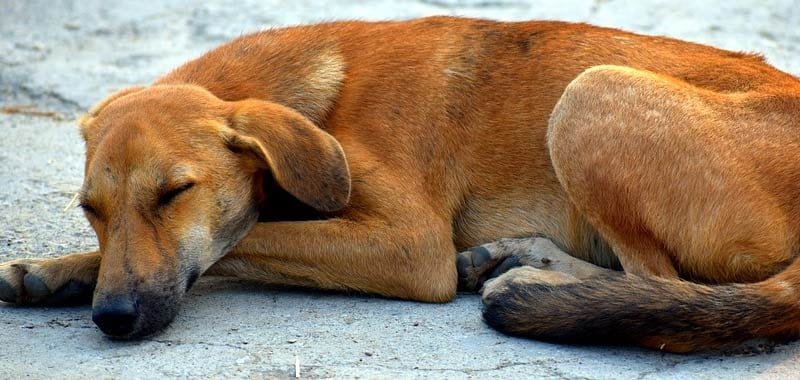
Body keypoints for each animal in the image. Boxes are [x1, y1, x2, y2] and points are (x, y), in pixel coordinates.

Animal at [1, 16, 800, 352]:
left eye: (175, 194)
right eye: (91, 209)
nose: (113, 319)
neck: (324, 98)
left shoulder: (410, 246)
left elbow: (246, 237)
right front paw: (54, 270)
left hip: (590, 94)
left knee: (665, 286)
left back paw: (544, 285)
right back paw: (523, 260)